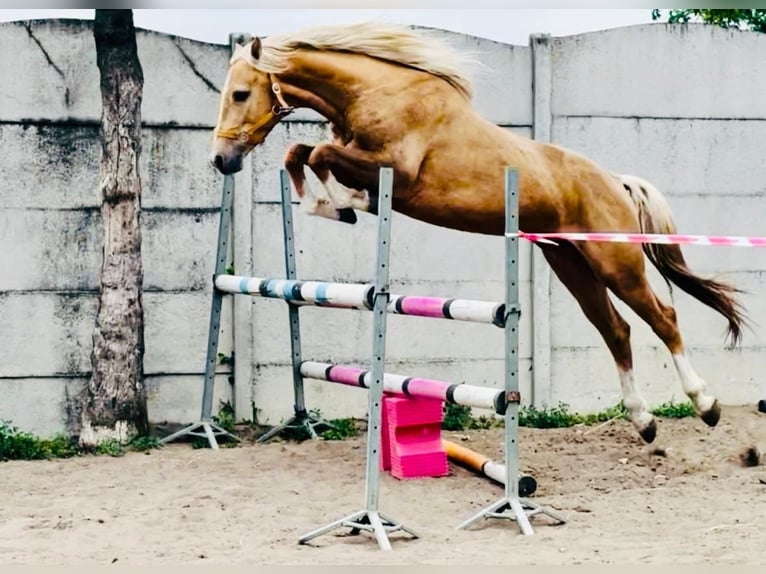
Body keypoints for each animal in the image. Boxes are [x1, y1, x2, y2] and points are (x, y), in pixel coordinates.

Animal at [208, 22, 747, 444]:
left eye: (240, 94)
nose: (221, 160)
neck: (377, 94)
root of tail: (614, 181)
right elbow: (298, 152)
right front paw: (330, 205)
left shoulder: (396, 171)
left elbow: (318, 154)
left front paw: (345, 204)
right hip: (570, 263)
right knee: (615, 329)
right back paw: (643, 422)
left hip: (615, 263)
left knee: (663, 318)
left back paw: (706, 405)